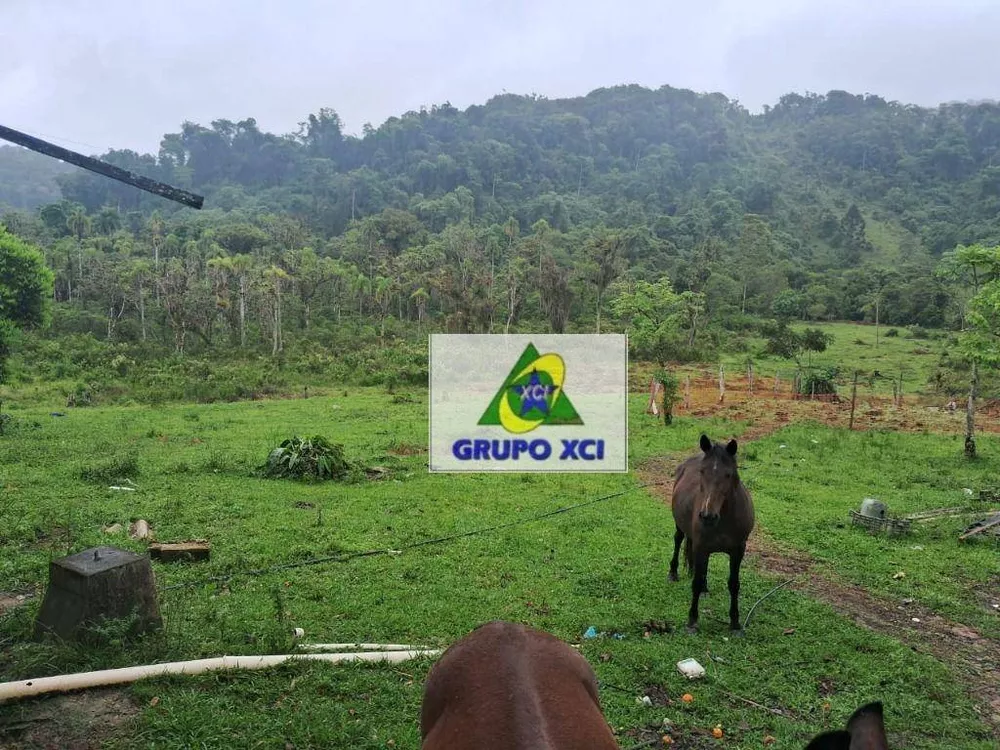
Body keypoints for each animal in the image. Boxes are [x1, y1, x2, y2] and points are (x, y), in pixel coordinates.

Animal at [668, 434, 752, 636]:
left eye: (728, 474)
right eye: (702, 471)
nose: (707, 516)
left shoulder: (738, 550)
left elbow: (734, 584)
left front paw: (735, 623)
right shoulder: (701, 547)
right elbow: (696, 583)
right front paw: (692, 621)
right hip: (681, 528)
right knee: (678, 540)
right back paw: (673, 573)